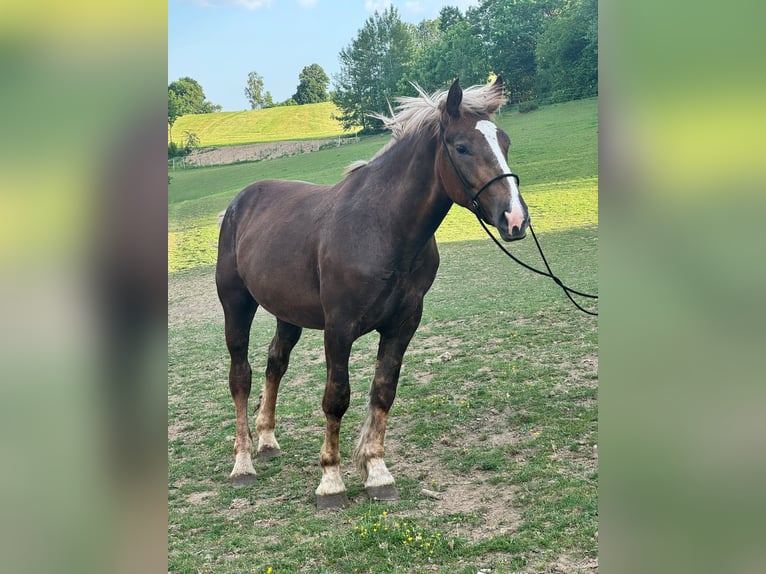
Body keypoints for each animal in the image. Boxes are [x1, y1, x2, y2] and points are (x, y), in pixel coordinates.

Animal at [216, 77, 529, 509]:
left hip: (287, 314)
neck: (382, 227)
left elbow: (383, 392)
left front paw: (377, 472)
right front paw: (331, 480)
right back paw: (243, 462)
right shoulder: (339, 329)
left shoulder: (403, 324)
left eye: (505, 141)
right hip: (237, 305)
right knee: (240, 376)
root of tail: (239, 201)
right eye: (462, 146)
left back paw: (266, 440)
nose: (515, 219)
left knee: (274, 363)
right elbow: (337, 398)